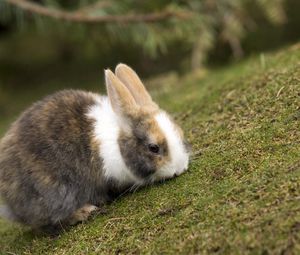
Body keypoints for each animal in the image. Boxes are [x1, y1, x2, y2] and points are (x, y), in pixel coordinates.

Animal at [0, 63, 190, 229]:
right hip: (53, 193)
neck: (118, 143)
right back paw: (85, 212)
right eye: (153, 147)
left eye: (180, 133)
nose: (180, 168)